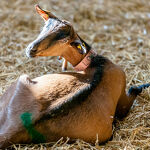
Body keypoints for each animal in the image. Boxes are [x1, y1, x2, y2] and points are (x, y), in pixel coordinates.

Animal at [0, 4, 149, 149]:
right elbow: (133, 90)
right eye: (44, 27)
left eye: (63, 39)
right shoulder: (123, 96)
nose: (31, 49)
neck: (96, 63)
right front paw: (145, 84)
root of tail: (11, 131)